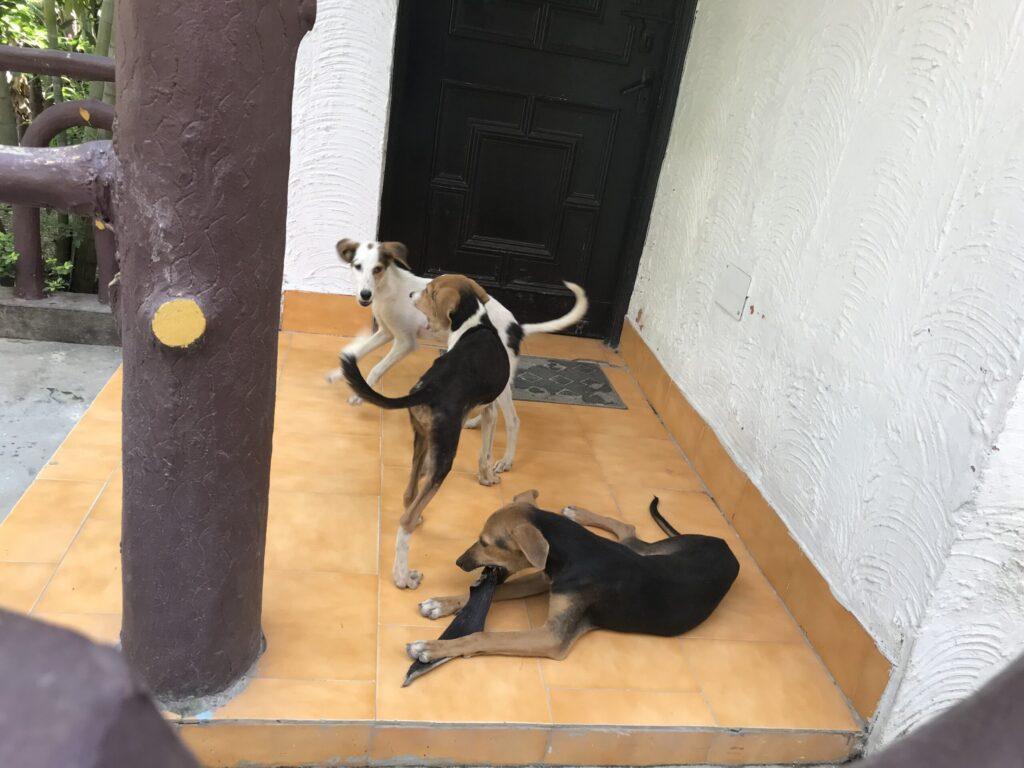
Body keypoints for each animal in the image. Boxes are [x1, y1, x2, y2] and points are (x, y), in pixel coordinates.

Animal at [323, 240, 589, 479]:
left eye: (377, 268)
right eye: (357, 266)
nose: (364, 295)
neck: (388, 288)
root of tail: (517, 327)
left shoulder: (405, 342)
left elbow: (377, 368)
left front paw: (359, 396)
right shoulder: (386, 333)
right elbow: (358, 352)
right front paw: (338, 375)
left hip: (501, 381)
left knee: (513, 420)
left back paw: (505, 460)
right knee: (491, 410)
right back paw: (476, 422)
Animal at [405, 493, 737, 667]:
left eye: (485, 543)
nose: (459, 562)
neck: (574, 550)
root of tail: (726, 547)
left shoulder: (552, 636)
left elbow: (484, 636)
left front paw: (431, 648)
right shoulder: (546, 578)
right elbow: (497, 591)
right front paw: (441, 603)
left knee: (629, 529)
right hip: (648, 551)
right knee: (628, 529)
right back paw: (577, 513)